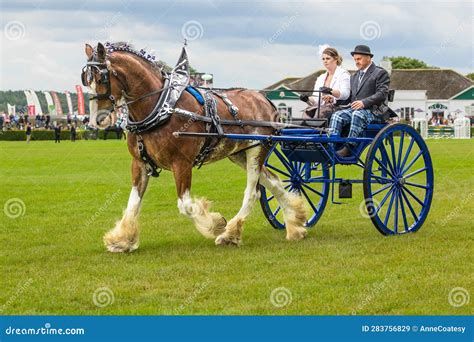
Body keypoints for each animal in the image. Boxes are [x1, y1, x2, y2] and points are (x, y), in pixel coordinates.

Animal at [82, 42, 308, 251]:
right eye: (86, 79)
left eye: (102, 78)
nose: (95, 120)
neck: (161, 107)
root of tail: (265, 99)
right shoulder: (139, 164)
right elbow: (133, 203)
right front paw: (122, 240)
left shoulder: (182, 163)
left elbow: (185, 205)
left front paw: (216, 224)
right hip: (239, 154)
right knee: (275, 182)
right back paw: (295, 223)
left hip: (256, 151)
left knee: (253, 193)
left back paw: (230, 233)